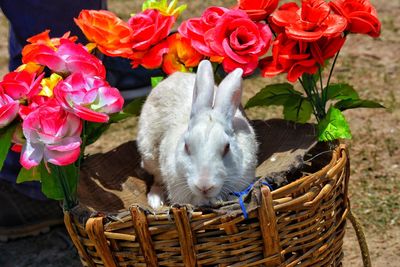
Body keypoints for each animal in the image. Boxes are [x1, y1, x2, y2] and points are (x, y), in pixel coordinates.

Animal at [137, 60, 256, 209]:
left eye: (227, 147)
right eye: (186, 146)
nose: (204, 186)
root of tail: (174, 76)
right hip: (149, 155)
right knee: (156, 179)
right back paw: (155, 201)